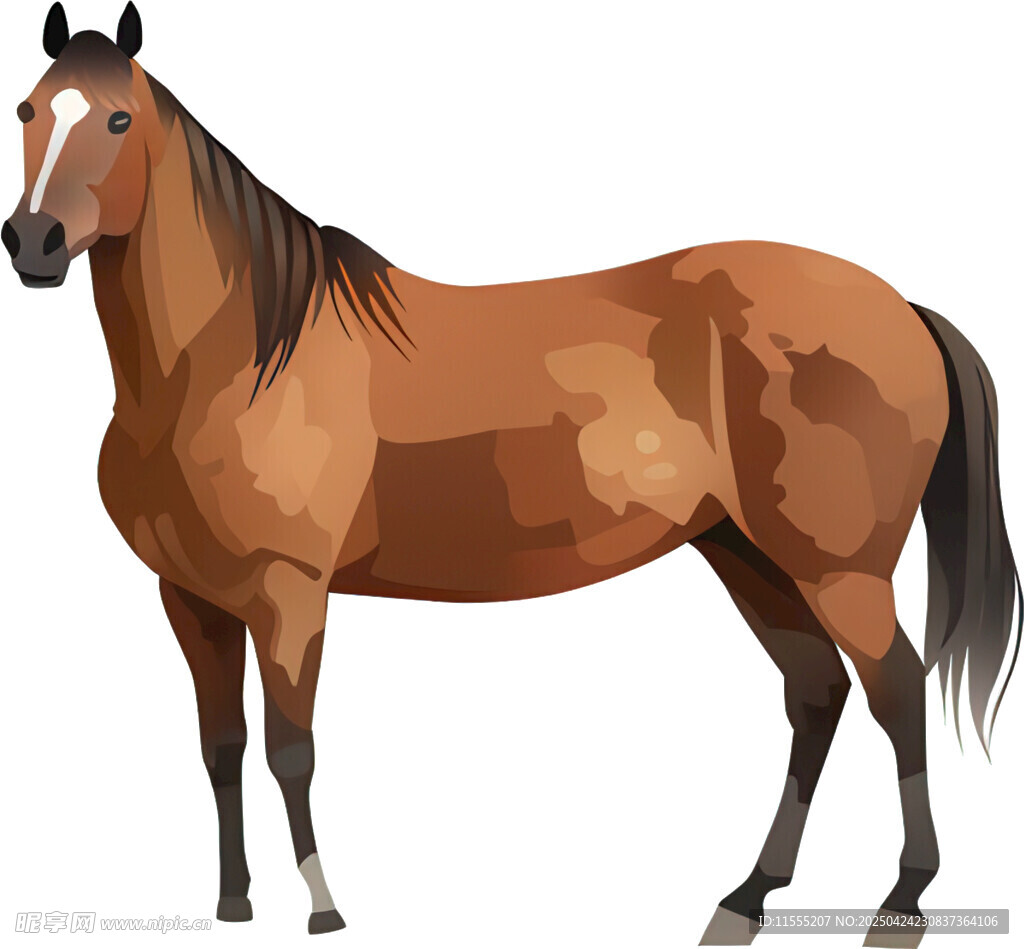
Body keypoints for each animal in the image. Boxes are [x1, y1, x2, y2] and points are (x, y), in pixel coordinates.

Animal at [4, 3, 1019, 944]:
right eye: (26, 109)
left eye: (119, 118)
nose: (33, 241)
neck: (236, 358)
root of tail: (903, 306)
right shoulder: (190, 597)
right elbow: (222, 746)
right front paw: (231, 901)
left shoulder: (288, 595)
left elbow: (292, 747)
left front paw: (324, 908)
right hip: (747, 554)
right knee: (817, 695)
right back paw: (747, 895)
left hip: (839, 568)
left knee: (896, 688)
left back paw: (901, 901)